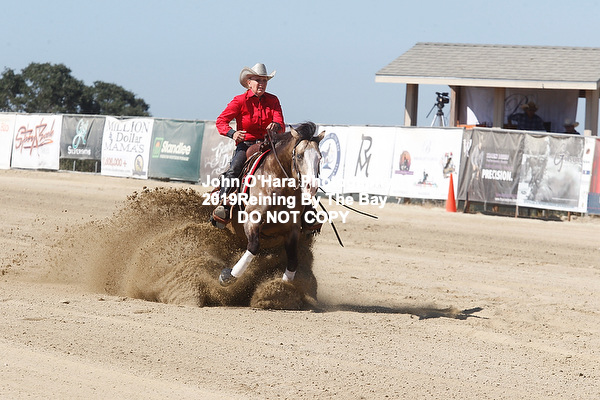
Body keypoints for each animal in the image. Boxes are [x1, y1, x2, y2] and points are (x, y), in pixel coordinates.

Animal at [218, 122, 324, 287]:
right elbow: (253, 247)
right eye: (299, 156)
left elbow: (293, 260)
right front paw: (229, 275)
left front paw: (284, 287)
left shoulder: (292, 229)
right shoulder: (252, 219)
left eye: (319, 157)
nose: (311, 187)